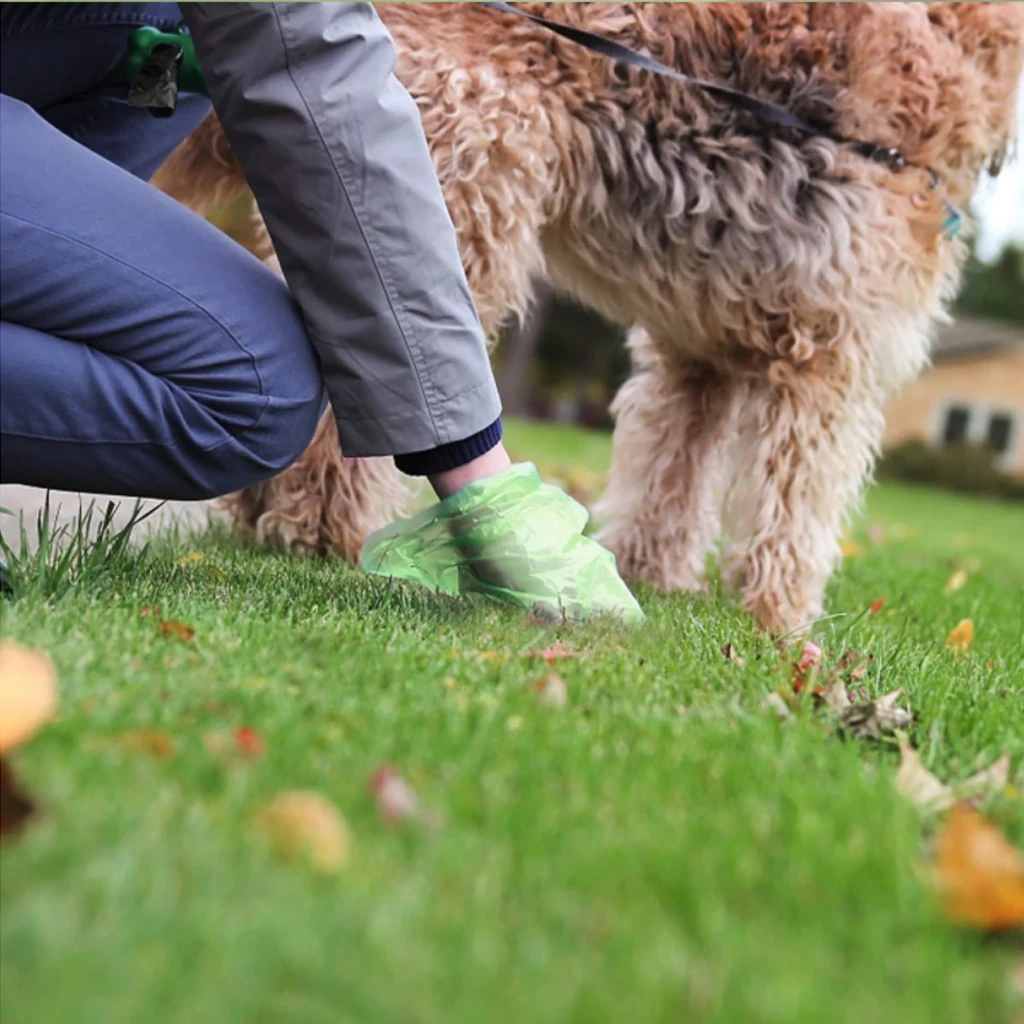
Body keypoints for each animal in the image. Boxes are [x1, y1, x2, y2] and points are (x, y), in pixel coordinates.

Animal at [153, 4, 1024, 630]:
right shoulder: (831, 357)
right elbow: (797, 506)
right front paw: (781, 619)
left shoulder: (699, 356)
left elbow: (669, 481)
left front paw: (654, 576)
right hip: (456, 201)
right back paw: (321, 528)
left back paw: (270, 516)